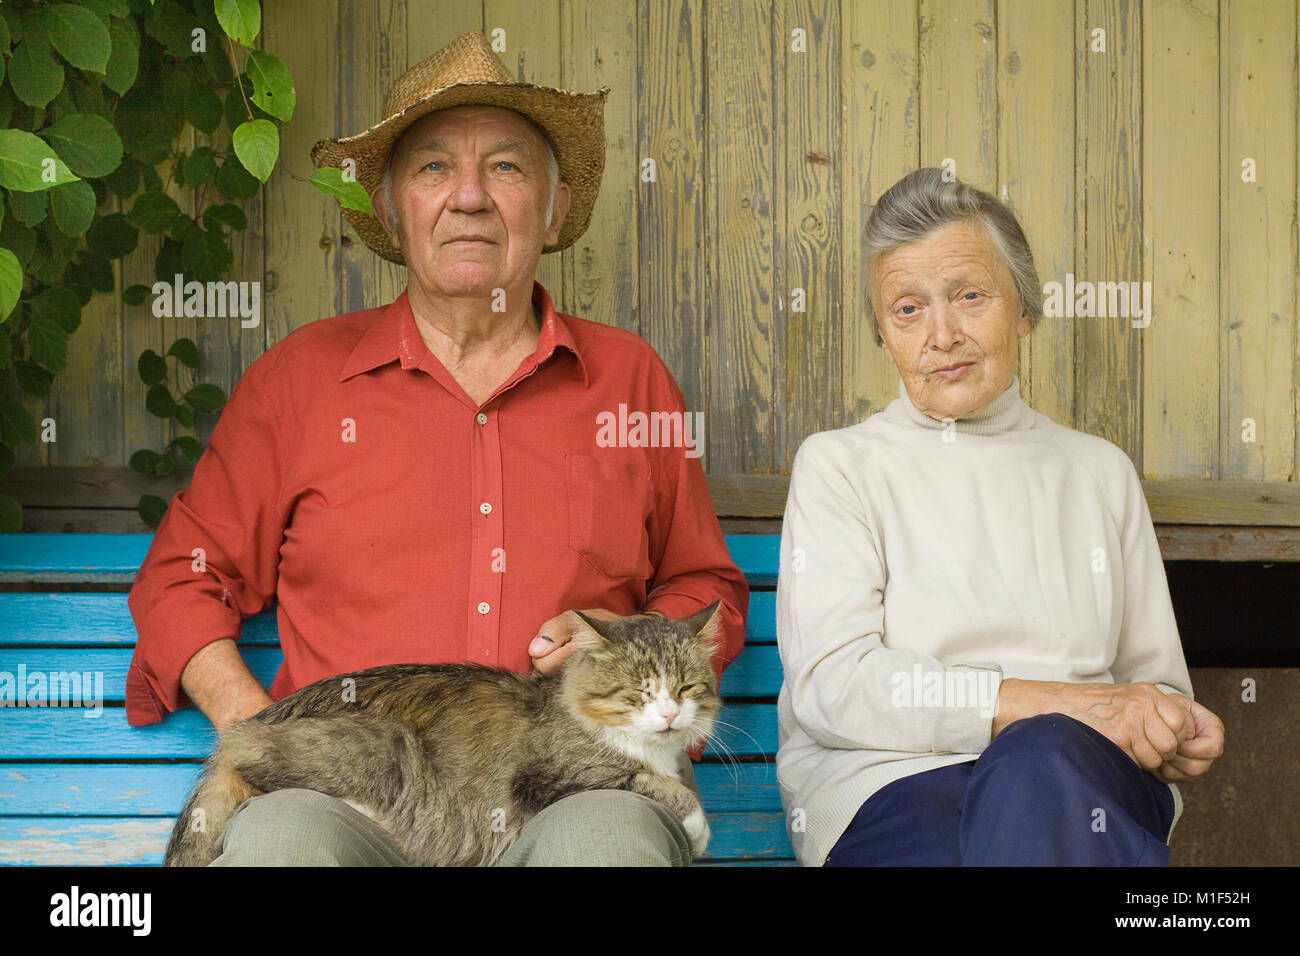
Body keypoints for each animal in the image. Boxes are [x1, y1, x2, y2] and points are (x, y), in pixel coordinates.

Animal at [163, 606, 728, 868]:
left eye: (686, 688)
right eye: (639, 691)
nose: (670, 713)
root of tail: (250, 727)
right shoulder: (553, 774)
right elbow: (650, 782)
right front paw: (698, 826)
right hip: (385, 742)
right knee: (259, 771)